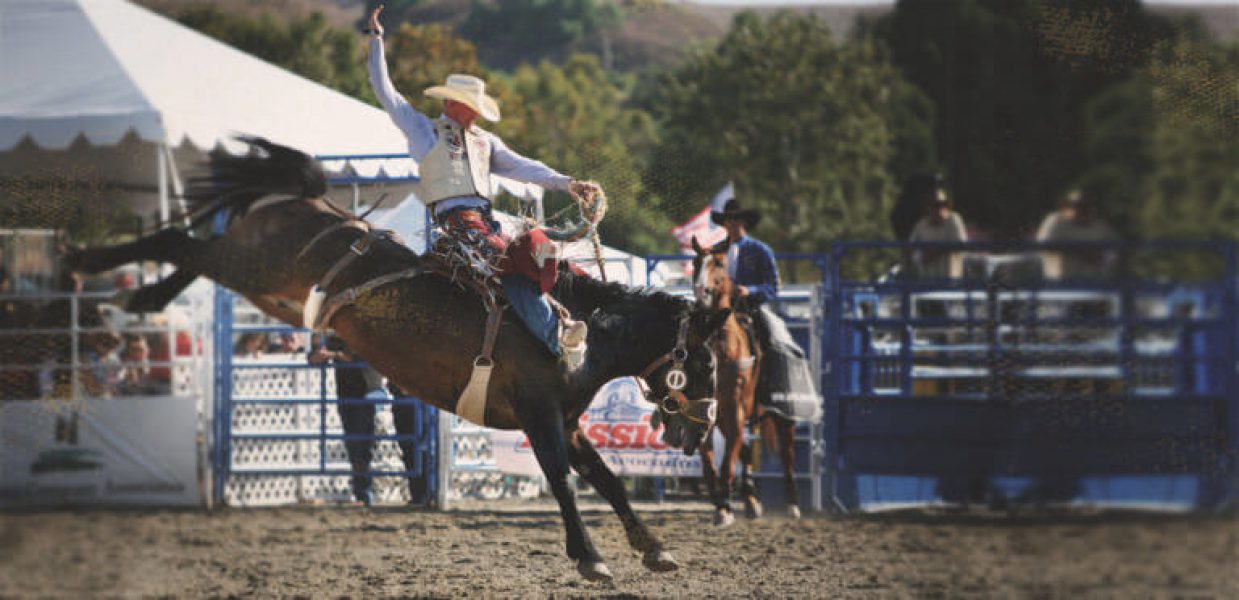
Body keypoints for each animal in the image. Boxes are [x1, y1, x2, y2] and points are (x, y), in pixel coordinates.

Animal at [65, 136, 723, 580]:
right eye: (708, 362)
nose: (703, 428)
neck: (576, 333)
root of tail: (315, 204)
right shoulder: (539, 417)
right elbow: (563, 480)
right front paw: (590, 558)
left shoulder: (566, 422)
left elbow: (607, 479)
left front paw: (653, 548)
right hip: (252, 265)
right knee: (177, 241)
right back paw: (89, 263)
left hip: (259, 279)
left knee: (189, 252)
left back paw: (139, 293)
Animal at [688, 236, 802, 523]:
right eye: (695, 262)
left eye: (718, 263)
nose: (701, 292)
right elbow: (710, 465)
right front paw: (721, 505)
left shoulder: (735, 410)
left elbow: (727, 463)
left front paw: (725, 509)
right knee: (747, 451)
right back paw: (751, 501)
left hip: (783, 416)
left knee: (787, 454)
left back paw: (792, 505)